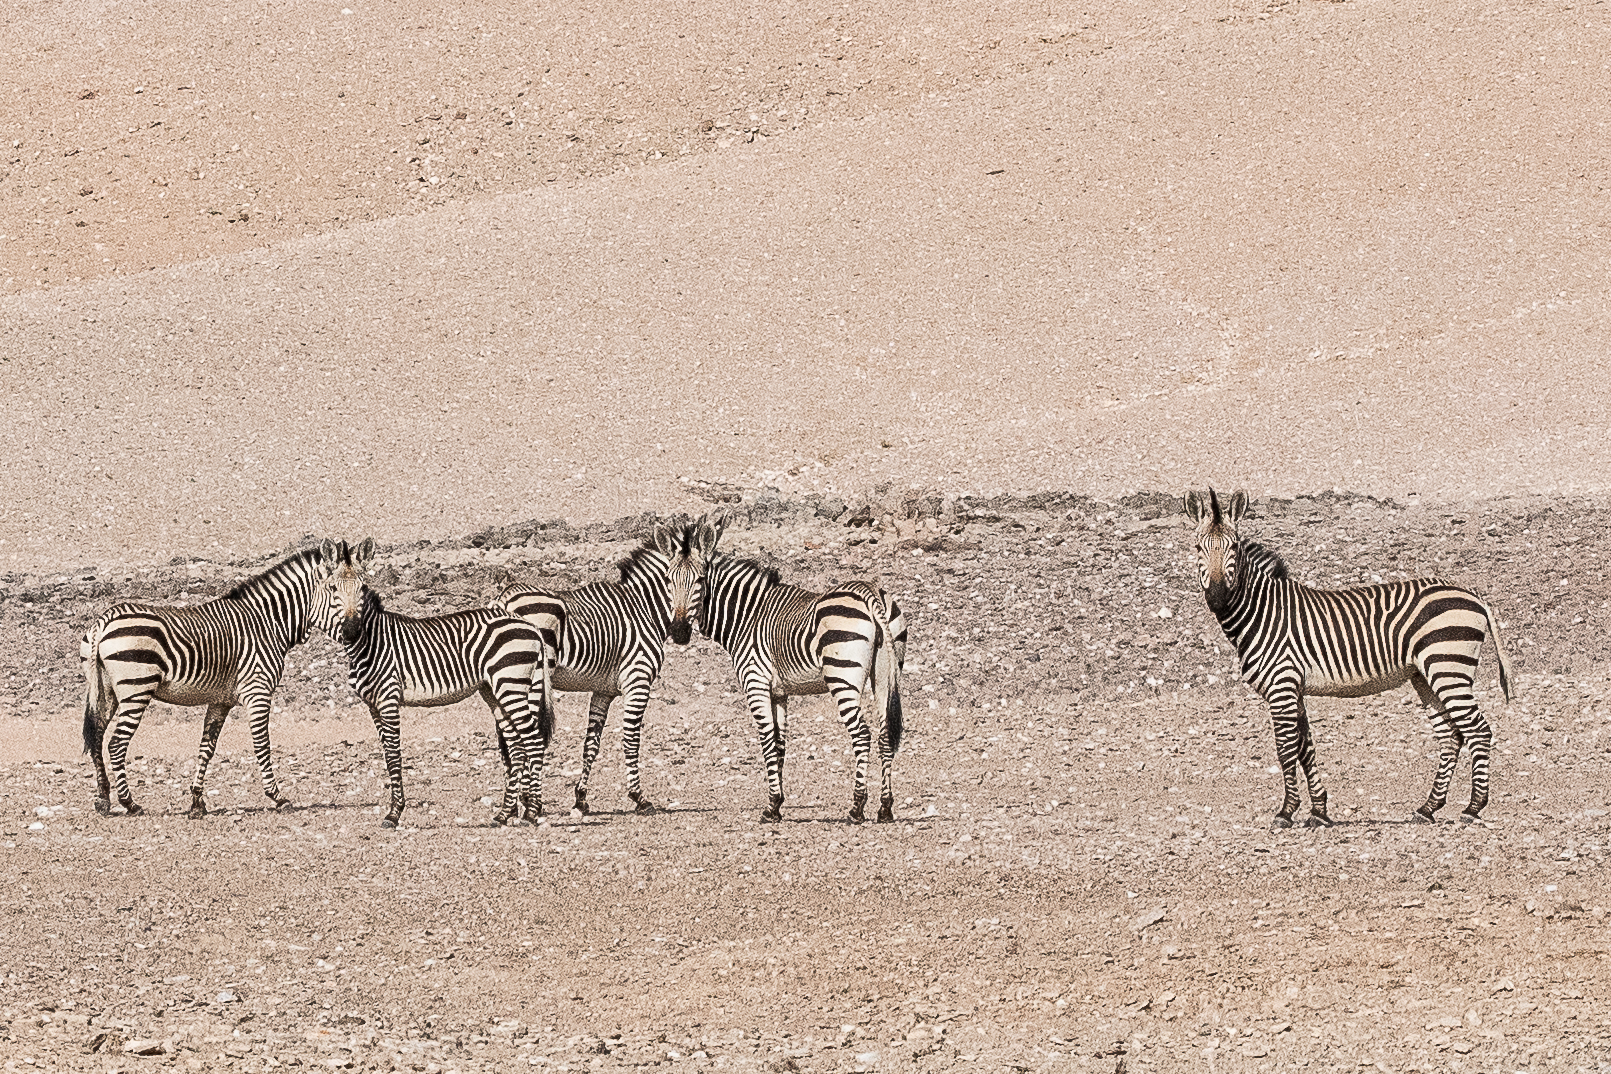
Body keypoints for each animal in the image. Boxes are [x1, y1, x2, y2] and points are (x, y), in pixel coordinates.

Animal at [81, 541, 339, 817]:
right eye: (336, 591)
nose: (354, 632)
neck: (267, 623)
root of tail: (104, 621)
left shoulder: (221, 700)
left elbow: (207, 747)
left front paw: (197, 801)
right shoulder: (258, 691)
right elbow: (262, 743)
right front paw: (277, 797)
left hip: (105, 691)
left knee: (96, 737)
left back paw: (103, 798)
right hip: (136, 690)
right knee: (116, 744)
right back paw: (129, 802)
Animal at [310, 537, 557, 830]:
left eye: (362, 588)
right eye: (333, 588)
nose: (351, 631)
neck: (372, 642)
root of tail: (529, 626)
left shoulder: (388, 698)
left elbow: (393, 754)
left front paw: (394, 813)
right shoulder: (373, 705)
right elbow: (386, 754)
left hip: (511, 684)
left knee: (533, 740)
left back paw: (531, 812)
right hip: (495, 691)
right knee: (516, 747)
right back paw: (503, 814)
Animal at [489, 515, 705, 814]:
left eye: (700, 580)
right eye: (668, 580)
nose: (680, 631)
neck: (644, 609)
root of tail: (505, 597)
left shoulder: (603, 690)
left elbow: (591, 743)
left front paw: (581, 797)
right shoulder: (638, 679)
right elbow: (631, 739)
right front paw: (639, 797)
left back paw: (516, 801)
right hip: (528, 679)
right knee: (522, 735)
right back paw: (528, 800)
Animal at [676, 512, 908, 824]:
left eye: (700, 580)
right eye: (670, 581)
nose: (678, 632)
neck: (746, 616)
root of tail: (869, 592)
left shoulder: (756, 682)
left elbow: (766, 739)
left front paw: (771, 805)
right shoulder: (779, 692)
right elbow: (779, 743)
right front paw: (777, 805)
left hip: (842, 676)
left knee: (862, 734)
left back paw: (857, 807)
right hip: (885, 673)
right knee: (884, 735)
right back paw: (885, 807)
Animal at [1185, 489, 1507, 830]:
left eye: (1233, 547)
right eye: (1197, 547)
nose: (1217, 597)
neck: (1263, 612)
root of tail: (1472, 593)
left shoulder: (1281, 685)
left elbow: (1285, 748)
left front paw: (1286, 812)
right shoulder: (1295, 688)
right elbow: (1305, 747)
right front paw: (1319, 810)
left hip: (1448, 668)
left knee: (1478, 730)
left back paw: (1473, 807)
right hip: (1426, 676)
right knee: (1451, 736)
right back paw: (1428, 807)